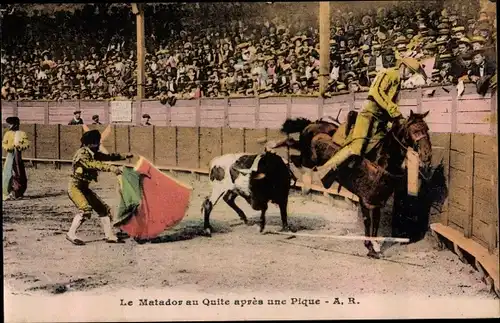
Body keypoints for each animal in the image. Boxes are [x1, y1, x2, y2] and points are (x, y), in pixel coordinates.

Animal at [276, 110, 432, 260]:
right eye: (415, 130)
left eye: (427, 129)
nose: (427, 155)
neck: (381, 159)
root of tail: (313, 123)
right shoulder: (364, 200)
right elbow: (368, 221)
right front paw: (369, 247)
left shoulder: (377, 202)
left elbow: (376, 222)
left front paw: (376, 249)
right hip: (308, 158)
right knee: (295, 155)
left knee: (294, 152)